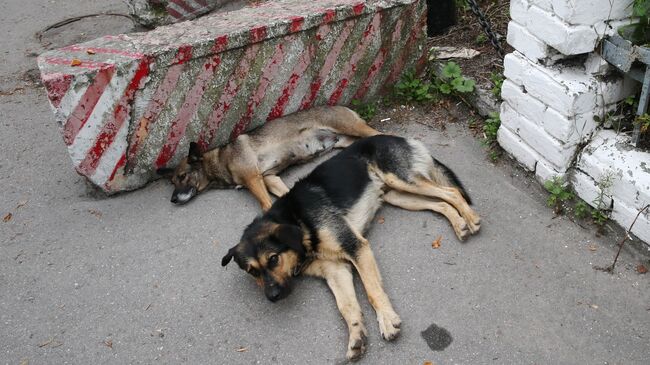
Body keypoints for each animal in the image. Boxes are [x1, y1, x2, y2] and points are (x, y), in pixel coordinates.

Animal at [158, 105, 380, 209]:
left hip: (351, 127)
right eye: (173, 182)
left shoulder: (253, 179)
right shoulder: (268, 178)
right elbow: (286, 194)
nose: (172, 199)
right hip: (345, 140)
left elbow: (266, 205)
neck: (221, 160)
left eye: (182, 177)